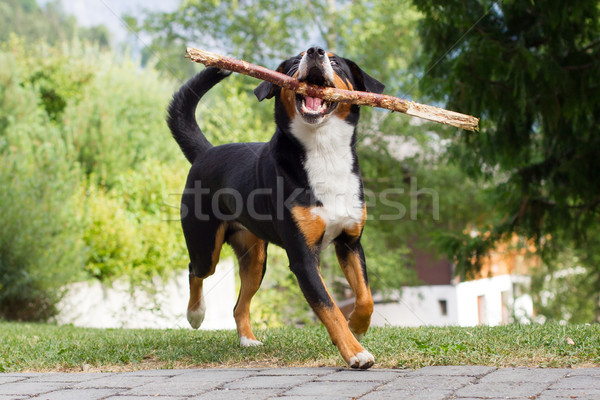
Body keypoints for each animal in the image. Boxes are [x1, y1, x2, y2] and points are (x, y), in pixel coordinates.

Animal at [168, 46, 384, 368]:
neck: (324, 152)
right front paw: (355, 352)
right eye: (295, 61)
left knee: (239, 305)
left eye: (335, 62)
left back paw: (247, 340)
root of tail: (206, 152)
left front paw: (357, 324)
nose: (315, 51)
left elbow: (366, 296)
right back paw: (196, 314)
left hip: (256, 258)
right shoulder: (303, 257)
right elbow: (329, 308)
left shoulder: (350, 242)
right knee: (196, 271)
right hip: (205, 244)